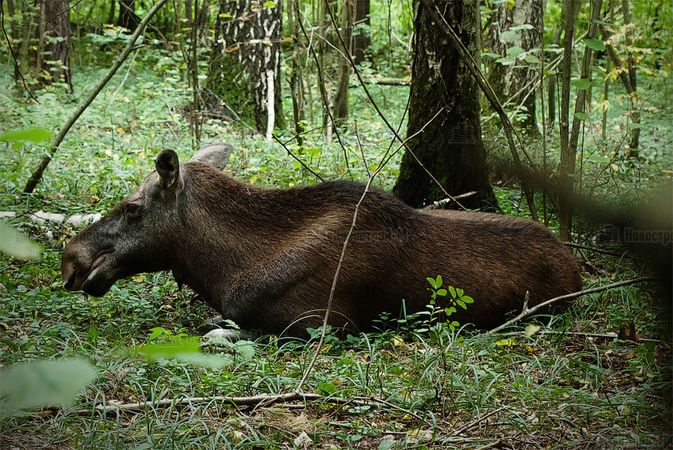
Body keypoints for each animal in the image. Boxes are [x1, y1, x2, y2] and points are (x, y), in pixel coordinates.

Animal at [60, 144, 580, 338]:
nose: (71, 257)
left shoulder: (320, 324)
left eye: (132, 207)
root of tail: (578, 268)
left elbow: (220, 332)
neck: (222, 270)